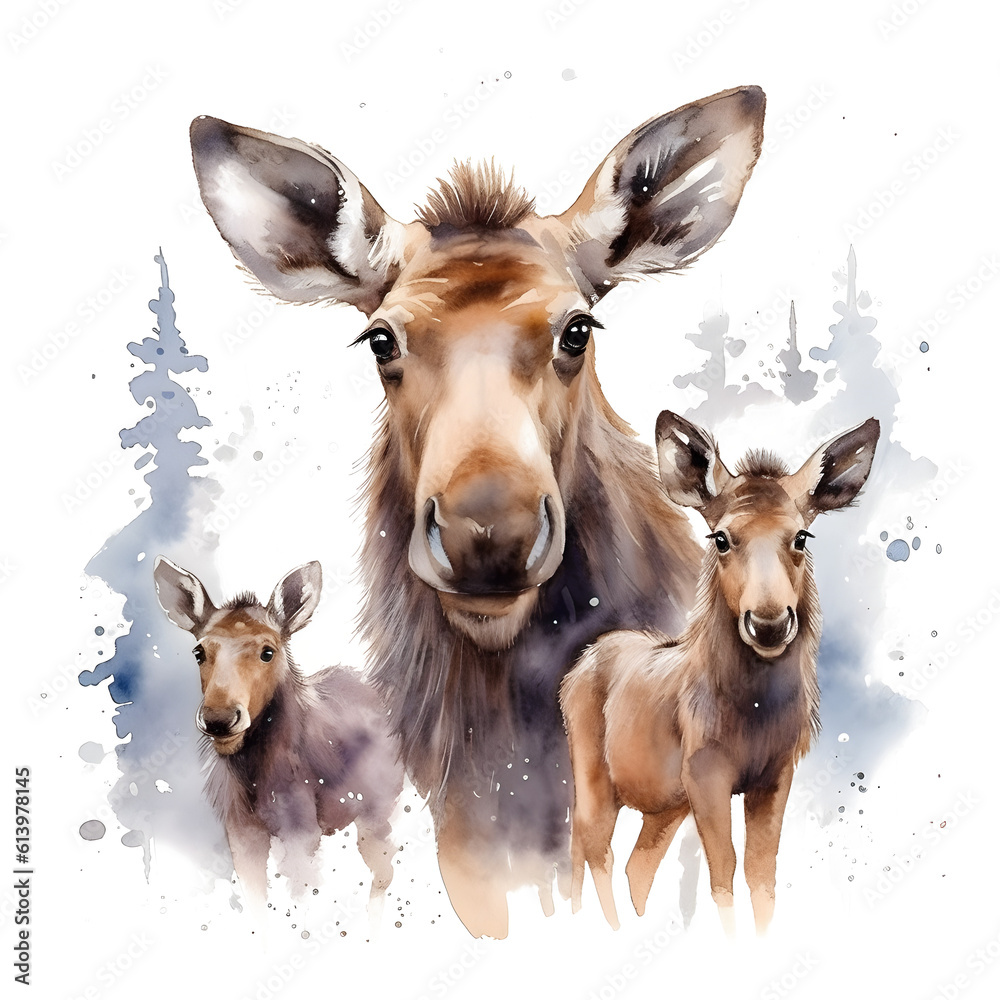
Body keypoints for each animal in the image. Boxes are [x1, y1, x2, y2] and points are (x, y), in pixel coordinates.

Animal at [152, 557, 402, 922]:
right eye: (199, 652)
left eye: (267, 652)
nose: (219, 720)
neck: (253, 777)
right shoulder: (242, 834)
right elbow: (258, 908)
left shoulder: (301, 832)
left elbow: (301, 904)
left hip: (378, 811)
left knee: (384, 875)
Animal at [560, 412, 879, 934]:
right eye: (722, 538)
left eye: (801, 537)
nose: (769, 622)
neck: (755, 714)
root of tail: (578, 665)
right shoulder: (705, 771)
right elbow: (723, 870)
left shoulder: (775, 774)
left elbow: (761, 872)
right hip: (593, 775)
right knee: (590, 850)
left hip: (664, 802)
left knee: (634, 863)